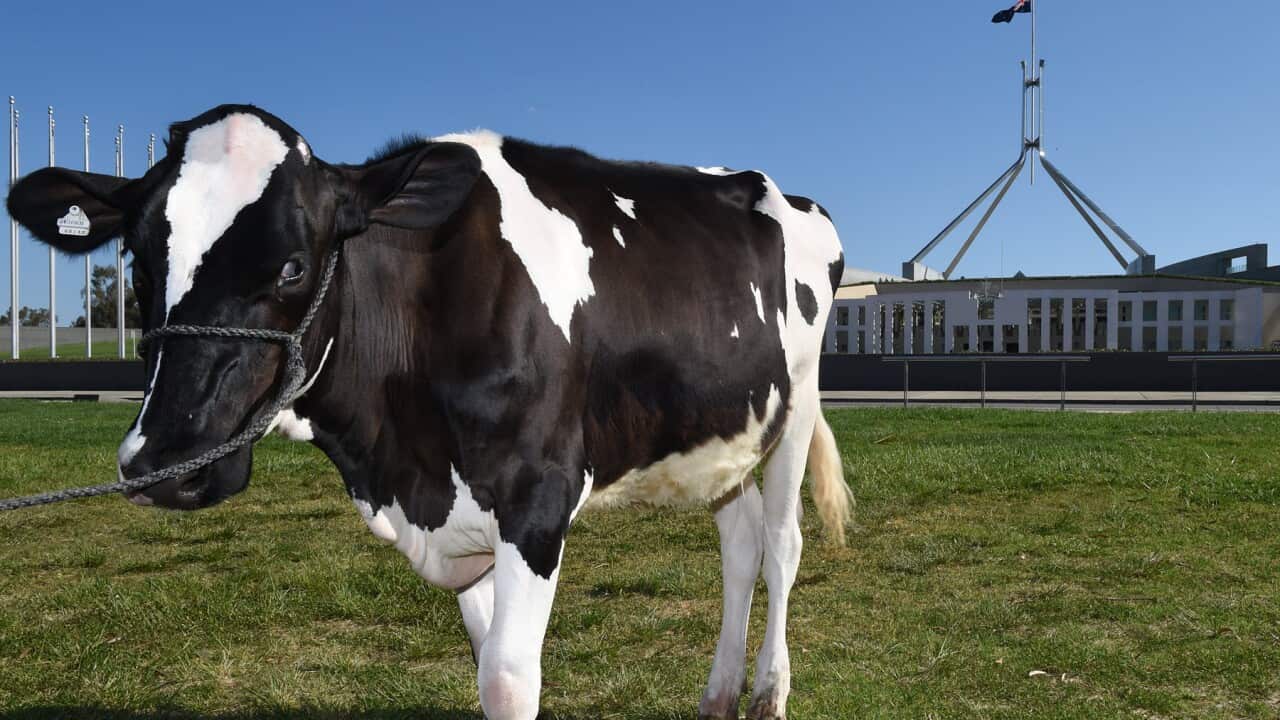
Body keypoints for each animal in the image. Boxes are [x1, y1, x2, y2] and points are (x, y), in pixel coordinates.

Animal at [6, 104, 851, 720]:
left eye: (294, 265)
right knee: (740, 546)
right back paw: (718, 696)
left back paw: (768, 694)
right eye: (137, 261)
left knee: (781, 545)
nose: (164, 463)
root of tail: (785, 193)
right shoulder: (459, 517)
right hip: (720, 434)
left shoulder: (536, 499)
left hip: (797, 408)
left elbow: (509, 681)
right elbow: (483, 671)